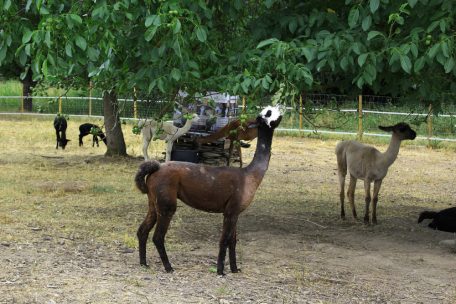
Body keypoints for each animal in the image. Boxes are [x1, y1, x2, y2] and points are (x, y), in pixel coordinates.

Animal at [134, 106, 280, 276]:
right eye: (269, 113)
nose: (279, 112)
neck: (250, 175)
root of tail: (155, 169)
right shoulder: (230, 212)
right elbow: (224, 240)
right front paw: (220, 271)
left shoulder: (235, 212)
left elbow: (233, 241)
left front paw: (235, 269)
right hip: (166, 204)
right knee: (157, 237)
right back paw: (168, 267)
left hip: (153, 202)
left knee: (142, 230)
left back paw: (144, 263)